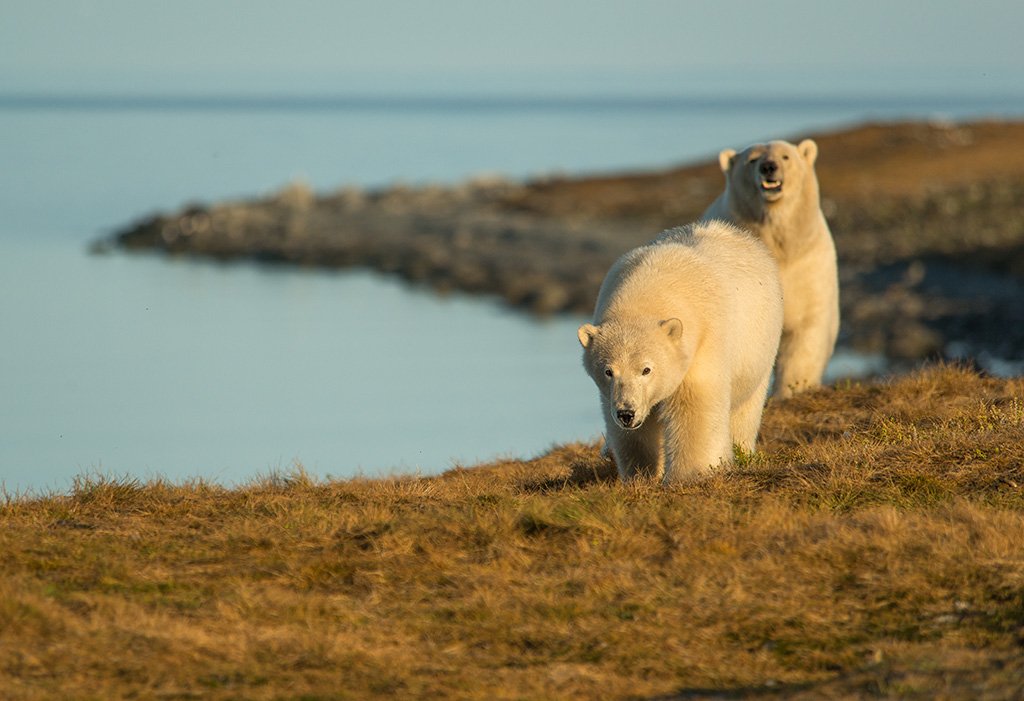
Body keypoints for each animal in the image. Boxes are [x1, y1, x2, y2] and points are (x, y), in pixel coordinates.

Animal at [577, 221, 782, 483]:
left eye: (646, 369)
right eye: (608, 371)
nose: (627, 413)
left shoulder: (702, 341)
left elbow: (694, 407)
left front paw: (688, 474)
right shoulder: (612, 393)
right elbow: (634, 433)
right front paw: (640, 475)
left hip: (758, 347)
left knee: (745, 407)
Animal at [704, 139, 839, 397]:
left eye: (786, 156)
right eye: (752, 159)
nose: (769, 167)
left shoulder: (809, 265)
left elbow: (806, 327)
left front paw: (792, 388)